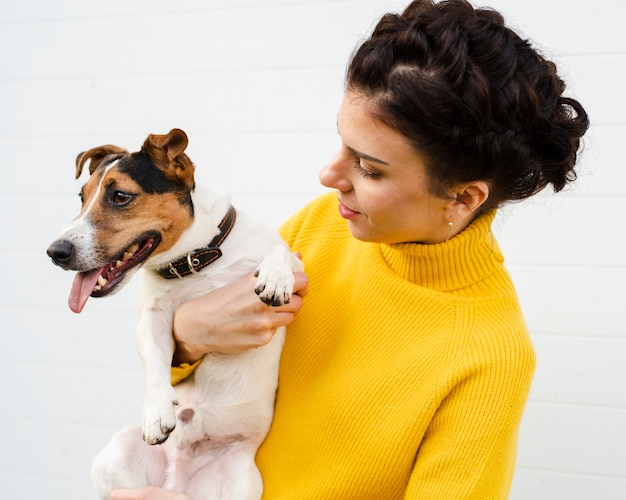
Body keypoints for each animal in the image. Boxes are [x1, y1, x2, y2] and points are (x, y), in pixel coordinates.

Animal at [45, 129, 300, 500]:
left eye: (120, 196)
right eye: (82, 197)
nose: (55, 252)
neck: (196, 261)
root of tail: (176, 479)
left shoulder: (295, 264)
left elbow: (282, 252)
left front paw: (275, 276)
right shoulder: (151, 321)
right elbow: (155, 363)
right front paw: (157, 412)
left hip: (240, 486)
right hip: (117, 453)